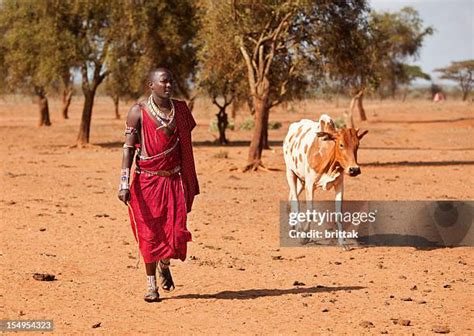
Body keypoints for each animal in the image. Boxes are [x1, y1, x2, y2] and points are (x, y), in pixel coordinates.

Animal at [284, 115, 368, 249]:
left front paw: (343, 242)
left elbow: (339, 213)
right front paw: (304, 237)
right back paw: (298, 230)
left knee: (291, 197)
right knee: (295, 201)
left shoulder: (339, 184)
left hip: (301, 181)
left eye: (358, 145)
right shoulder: (310, 184)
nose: (354, 169)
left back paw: (294, 227)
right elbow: (310, 211)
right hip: (290, 173)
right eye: (341, 144)